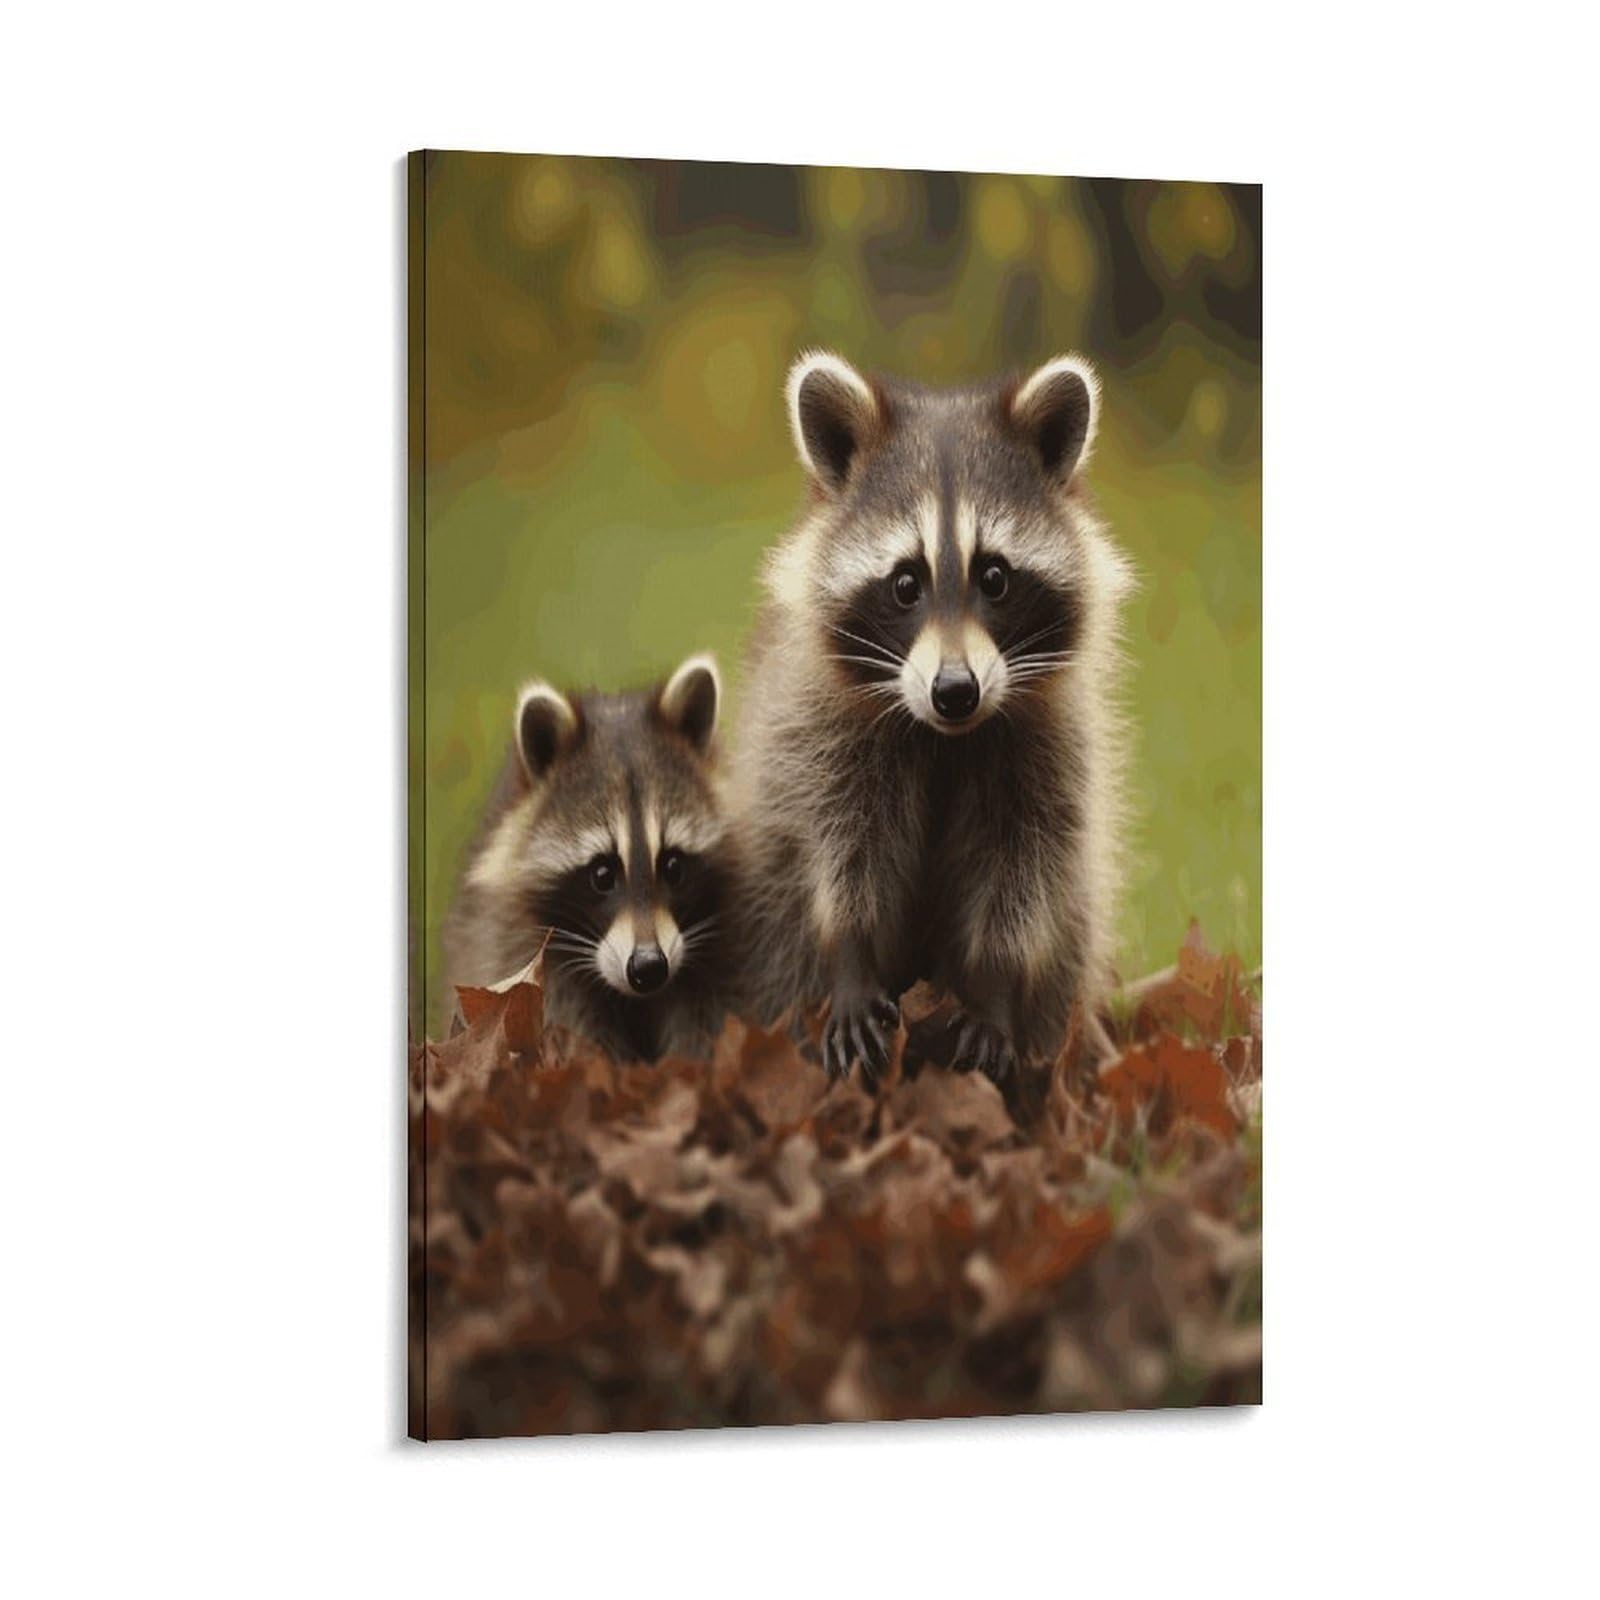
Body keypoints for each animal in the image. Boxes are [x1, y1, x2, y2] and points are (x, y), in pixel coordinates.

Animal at [731, 351, 1132, 1083]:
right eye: (904, 584)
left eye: (995, 578)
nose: (954, 691)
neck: (946, 737)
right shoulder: (820, 732)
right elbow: (842, 850)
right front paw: (851, 955)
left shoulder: (1049, 745)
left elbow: (1023, 870)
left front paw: (996, 986)